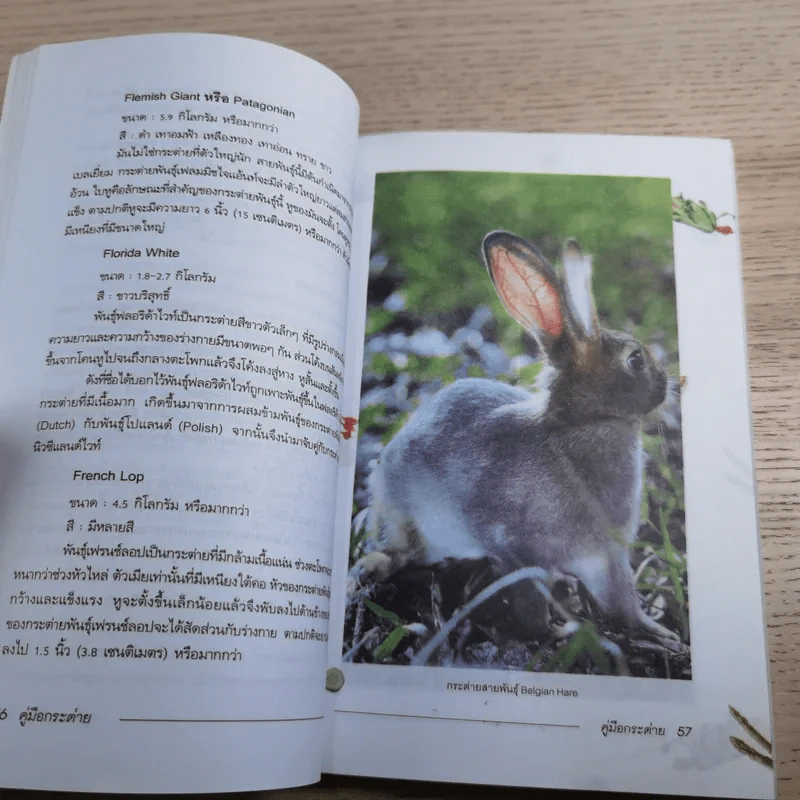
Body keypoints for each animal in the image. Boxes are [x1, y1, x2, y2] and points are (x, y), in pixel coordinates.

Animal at [348, 230, 678, 645]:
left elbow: (623, 603)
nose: (667, 384)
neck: (581, 425)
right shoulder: (518, 549)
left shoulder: (608, 556)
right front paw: (554, 632)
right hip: (404, 510)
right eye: (635, 360)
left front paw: (659, 634)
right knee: (400, 549)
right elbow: (531, 598)